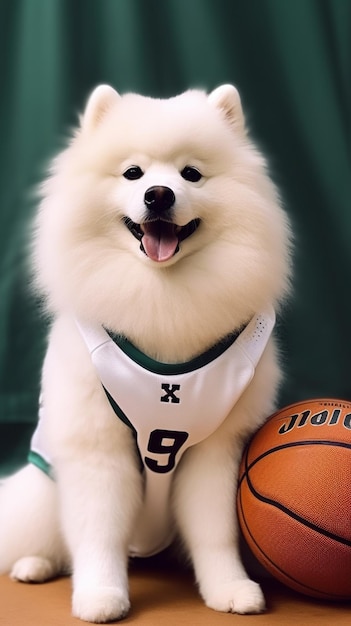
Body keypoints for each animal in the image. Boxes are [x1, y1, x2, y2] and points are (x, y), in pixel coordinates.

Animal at [0, 83, 292, 620]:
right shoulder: (98, 448)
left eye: (191, 173)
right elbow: (97, 534)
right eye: (133, 173)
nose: (159, 194)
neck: (161, 294)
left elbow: (215, 533)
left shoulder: (213, 450)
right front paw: (100, 595)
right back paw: (34, 565)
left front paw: (229, 588)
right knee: (47, 534)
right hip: (44, 488)